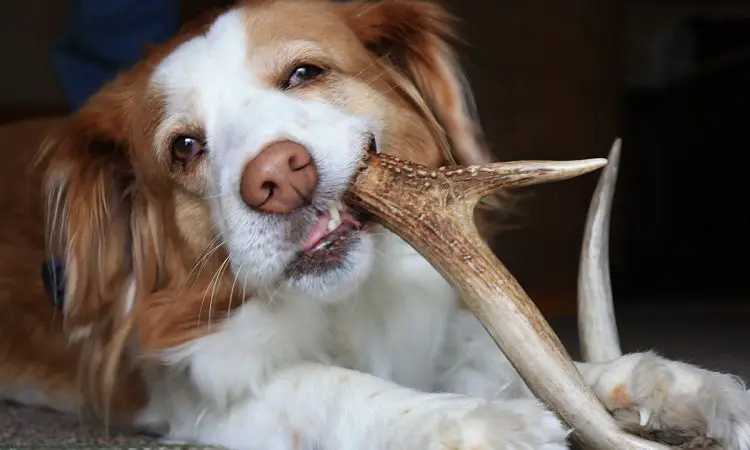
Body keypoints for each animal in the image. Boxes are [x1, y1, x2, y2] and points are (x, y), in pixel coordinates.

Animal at [1, 1, 750, 448]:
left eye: (305, 72)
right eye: (184, 147)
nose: (278, 177)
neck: (347, 304)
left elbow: (536, 363)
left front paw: (677, 386)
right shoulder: (207, 388)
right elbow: (331, 387)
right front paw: (480, 424)